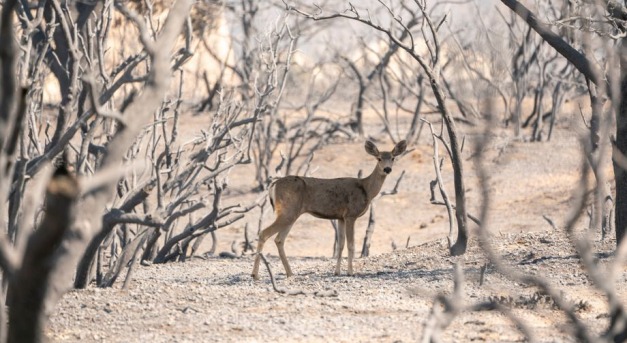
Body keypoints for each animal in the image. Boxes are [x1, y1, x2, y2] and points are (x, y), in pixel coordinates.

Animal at [253, 140, 410, 280]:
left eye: (393, 158)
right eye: (379, 158)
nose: (387, 169)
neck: (366, 189)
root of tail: (273, 185)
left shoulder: (340, 217)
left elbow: (340, 245)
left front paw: (337, 272)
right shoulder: (351, 214)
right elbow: (351, 245)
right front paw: (350, 272)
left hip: (291, 214)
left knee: (279, 239)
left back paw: (290, 274)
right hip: (288, 211)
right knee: (264, 233)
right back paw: (255, 275)